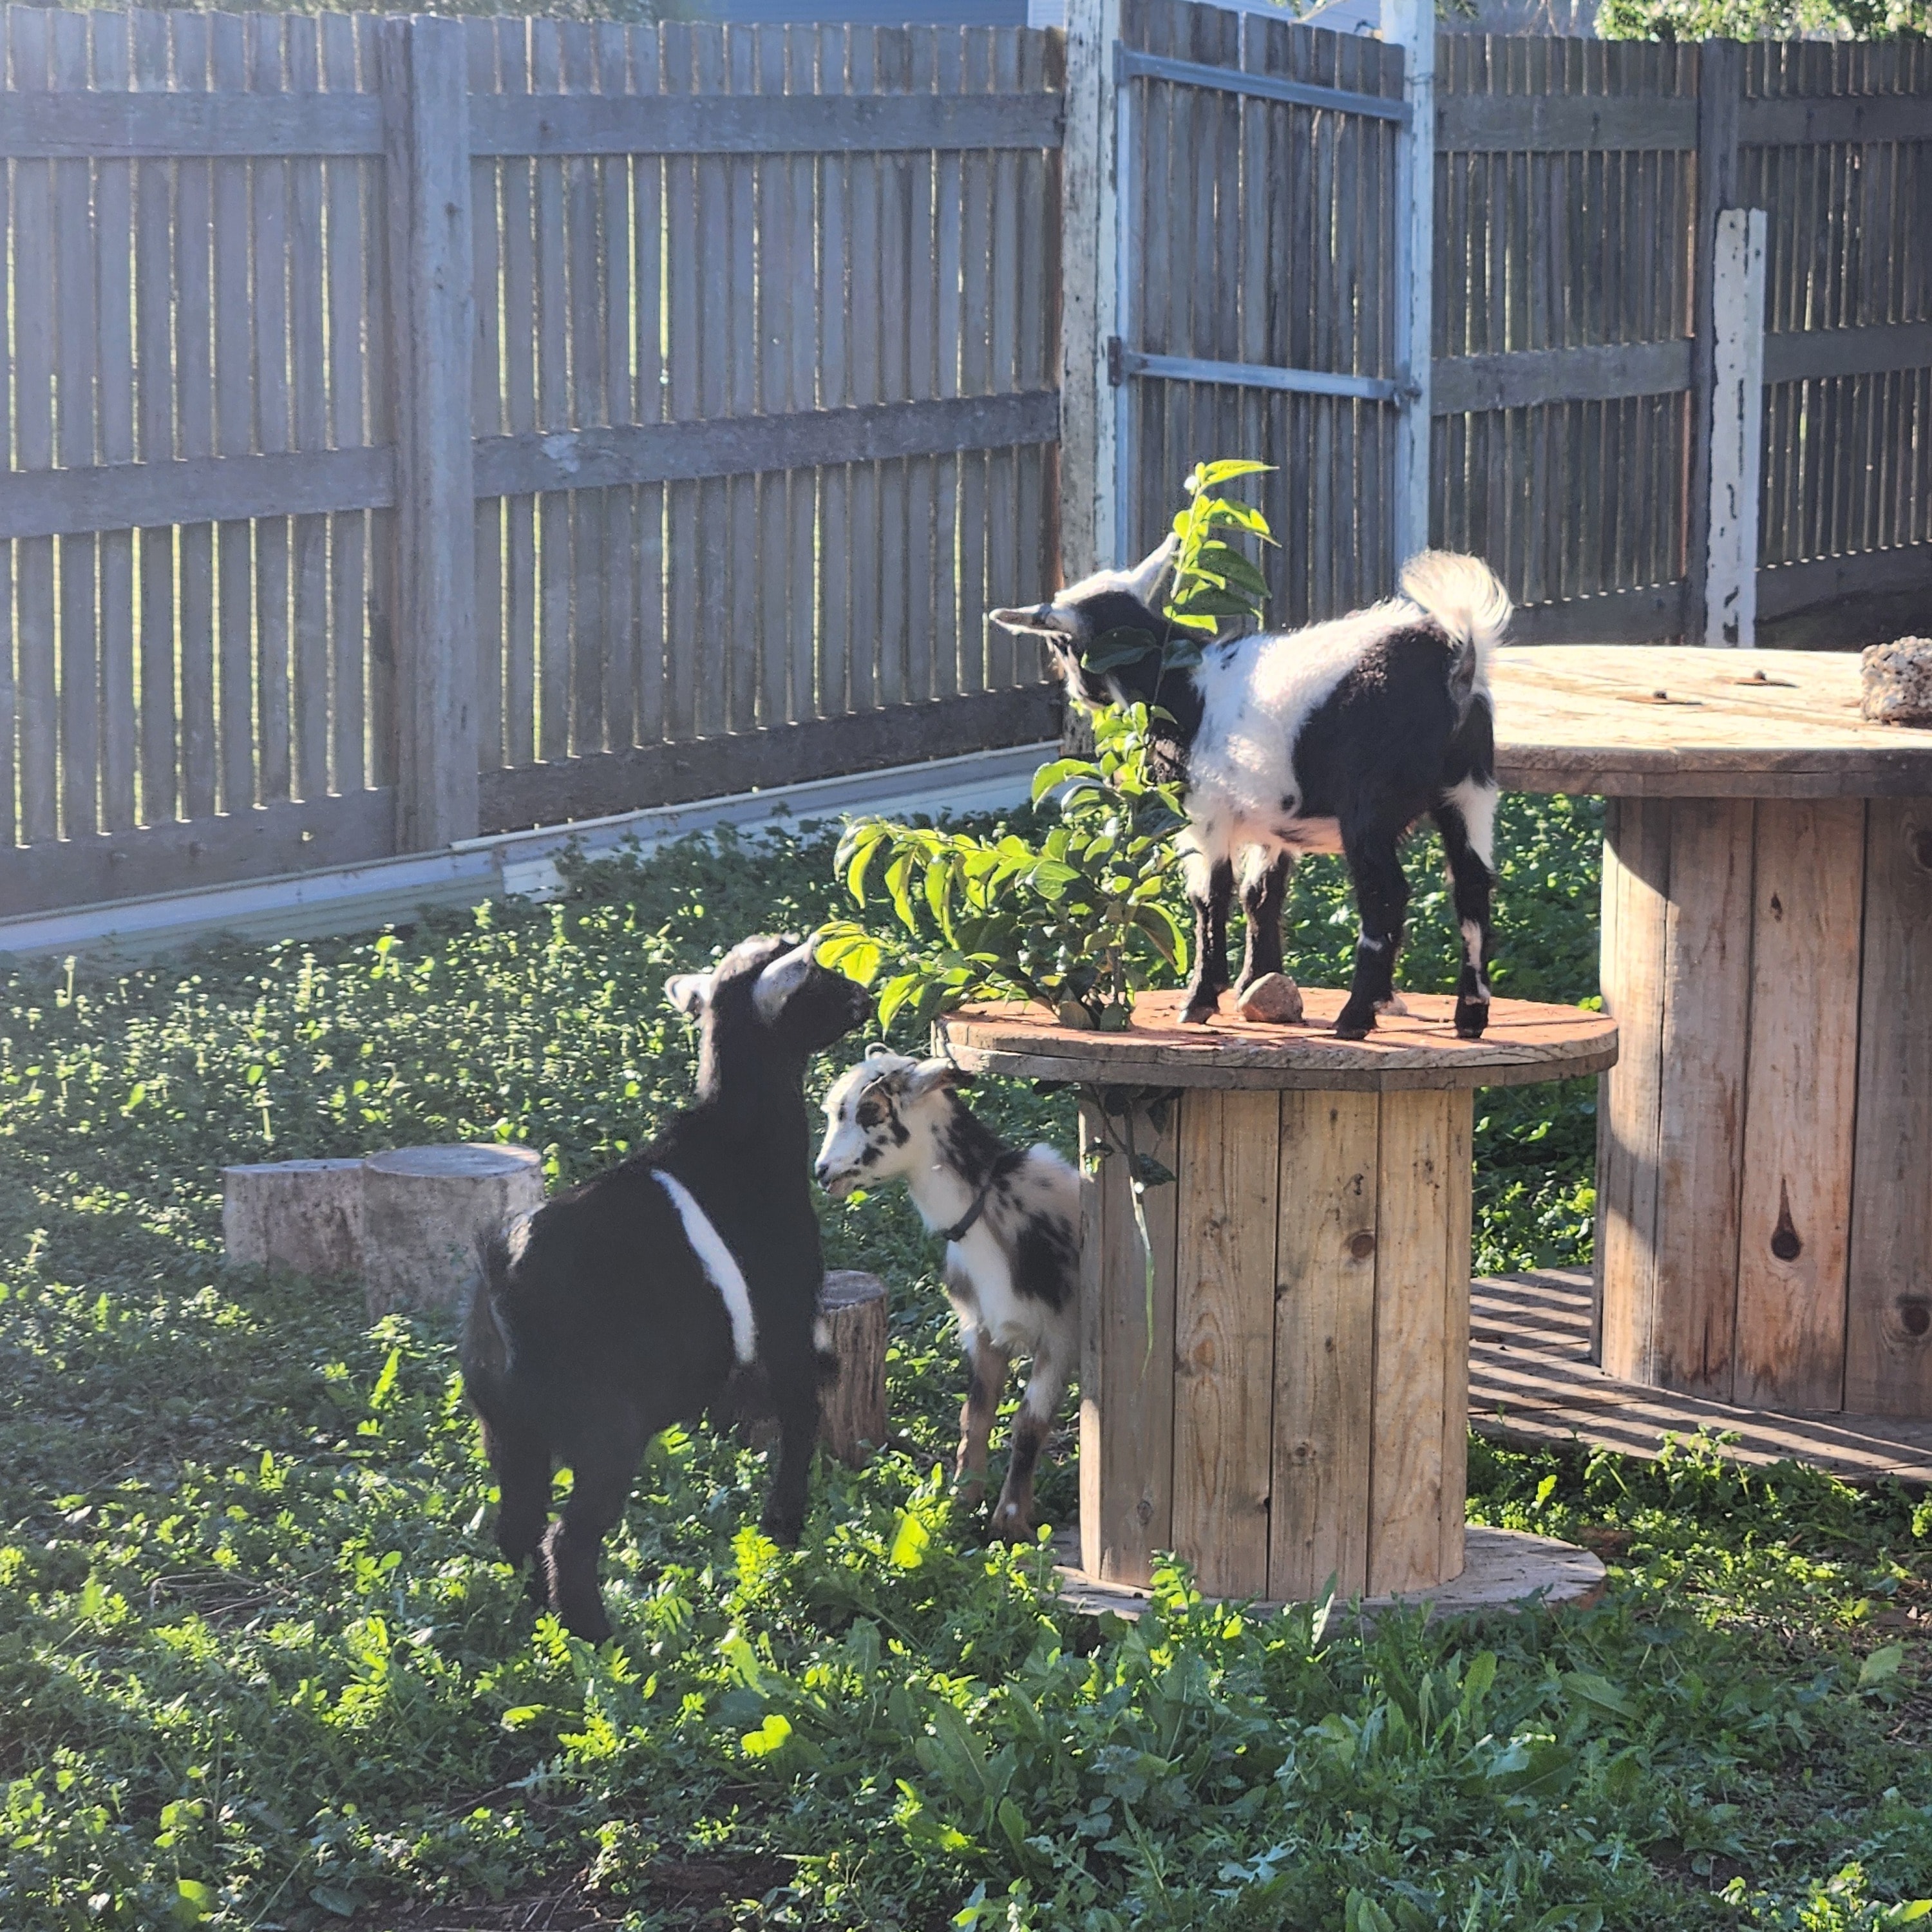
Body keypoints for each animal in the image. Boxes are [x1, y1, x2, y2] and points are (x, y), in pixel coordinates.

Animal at [461, 934, 872, 1641]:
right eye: (815, 979)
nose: (864, 996)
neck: (738, 1136)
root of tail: (502, 1283)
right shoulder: (787, 1316)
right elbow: (801, 1417)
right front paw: (784, 1528)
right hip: (605, 1430)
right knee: (566, 1538)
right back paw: (599, 1636)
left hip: (508, 1430)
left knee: (517, 1526)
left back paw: (544, 1623)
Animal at [815, 1049, 1080, 1540]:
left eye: (870, 1111)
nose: (823, 1172)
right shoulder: (982, 1329)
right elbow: (974, 1417)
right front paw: (960, 1501)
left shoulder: (1061, 1337)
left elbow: (1028, 1425)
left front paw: (1009, 1522)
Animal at [993, 543, 1509, 1040]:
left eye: (1061, 642)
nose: (1082, 695)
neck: (1182, 684)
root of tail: (1456, 660)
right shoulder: (1273, 822)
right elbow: (1260, 894)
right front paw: (1255, 981)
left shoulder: (1202, 813)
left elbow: (1209, 896)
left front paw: (1202, 998)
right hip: (1470, 792)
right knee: (1472, 889)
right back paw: (1470, 1015)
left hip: (1370, 807)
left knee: (1386, 896)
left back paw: (1355, 1016)